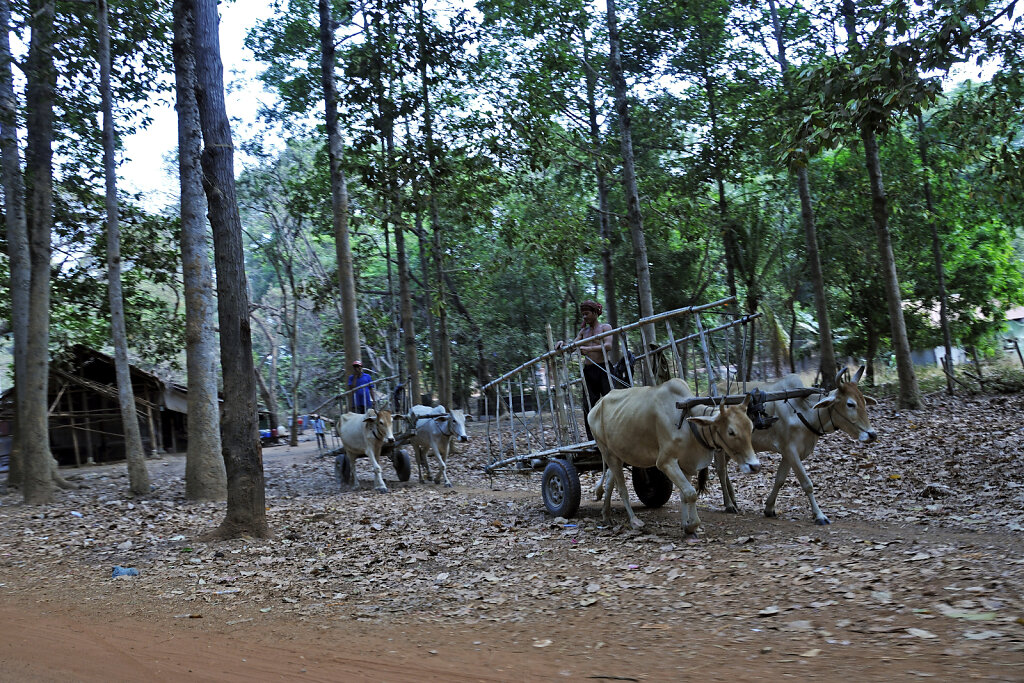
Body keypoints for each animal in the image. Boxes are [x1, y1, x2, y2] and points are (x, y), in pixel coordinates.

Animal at [585, 378, 761, 540]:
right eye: (731, 432)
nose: (755, 466)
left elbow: (685, 495)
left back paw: (606, 516)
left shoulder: (687, 465)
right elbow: (691, 493)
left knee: (609, 482)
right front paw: (691, 525)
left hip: (617, 455)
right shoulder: (665, 462)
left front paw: (686, 526)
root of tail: (597, 404)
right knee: (622, 489)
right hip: (606, 451)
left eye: (751, 427)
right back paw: (634, 521)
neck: (689, 424)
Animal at [712, 368, 880, 524]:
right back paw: (729, 504)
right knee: (721, 470)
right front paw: (819, 515)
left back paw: (733, 500)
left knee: (724, 469)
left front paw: (769, 508)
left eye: (864, 402)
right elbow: (807, 483)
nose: (872, 435)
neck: (803, 412)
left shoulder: (789, 454)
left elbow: (779, 480)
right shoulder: (791, 451)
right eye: (850, 404)